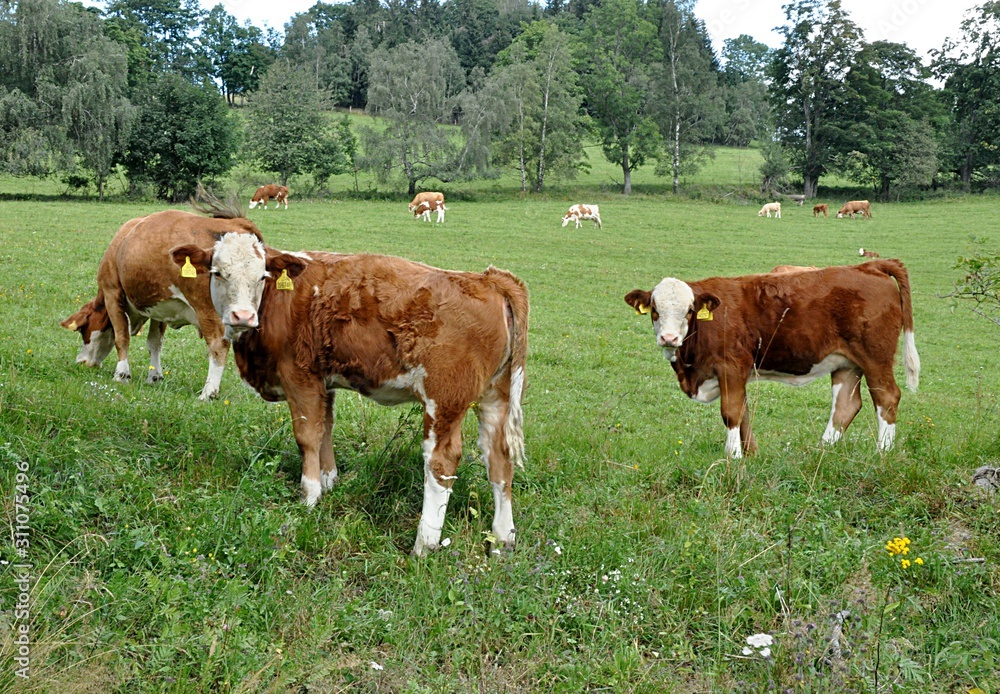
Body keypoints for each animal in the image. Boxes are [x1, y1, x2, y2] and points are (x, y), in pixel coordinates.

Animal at [58, 201, 262, 402]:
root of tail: (236, 222)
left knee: (218, 344)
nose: (81, 362)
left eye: (82, 330)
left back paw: (209, 392)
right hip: (247, 313)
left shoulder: (111, 293)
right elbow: (154, 342)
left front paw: (121, 374)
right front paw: (154, 376)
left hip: (209, 310)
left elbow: (121, 337)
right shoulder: (162, 308)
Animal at [170, 237, 532, 556]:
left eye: (262, 276)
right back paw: (503, 538)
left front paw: (310, 495)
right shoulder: (323, 381)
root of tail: (487, 279)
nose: (242, 316)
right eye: (218, 273)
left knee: (441, 463)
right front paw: (330, 481)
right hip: (495, 397)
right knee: (499, 458)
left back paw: (424, 544)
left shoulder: (299, 375)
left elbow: (307, 435)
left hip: (444, 400)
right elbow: (325, 429)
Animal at [624, 258, 920, 460]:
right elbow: (743, 413)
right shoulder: (736, 374)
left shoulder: (732, 366)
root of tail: (869, 265)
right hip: (847, 363)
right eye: (655, 309)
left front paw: (733, 457)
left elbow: (731, 412)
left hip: (875, 358)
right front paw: (751, 455)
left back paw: (883, 452)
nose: (669, 338)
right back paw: (819, 452)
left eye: (689, 310)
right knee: (846, 405)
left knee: (887, 397)